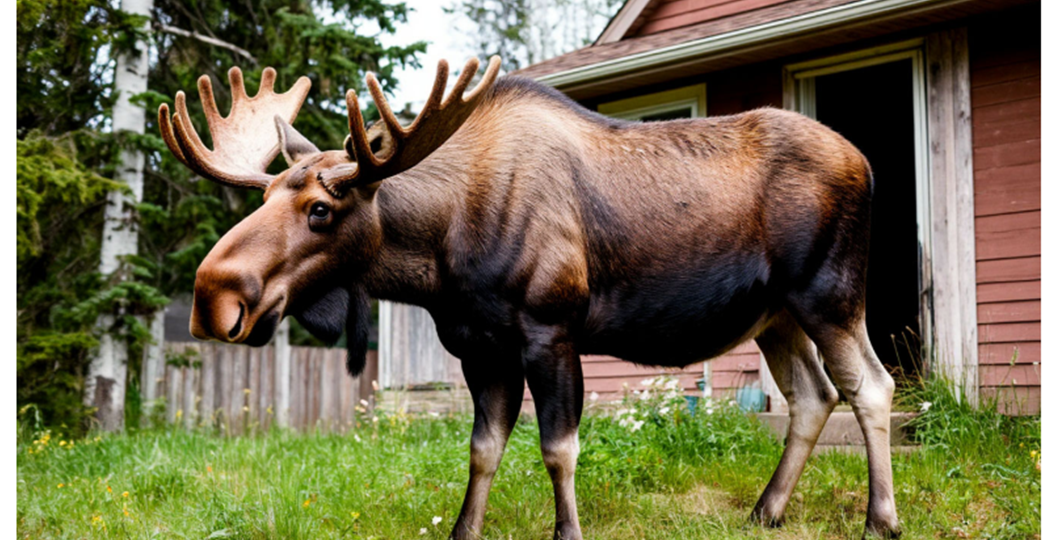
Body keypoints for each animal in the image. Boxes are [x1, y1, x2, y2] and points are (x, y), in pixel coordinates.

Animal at [158, 56, 901, 539]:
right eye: (261, 198)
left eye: (319, 209)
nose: (212, 294)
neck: (440, 258)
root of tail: (865, 164)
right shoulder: (478, 349)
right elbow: (483, 449)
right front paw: (464, 531)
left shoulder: (552, 330)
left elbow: (558, 448)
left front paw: (566, 532)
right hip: (774, 315)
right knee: (813, 394)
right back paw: (766, 511)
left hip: (830, 293)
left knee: (871, 386)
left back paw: (880, 519)